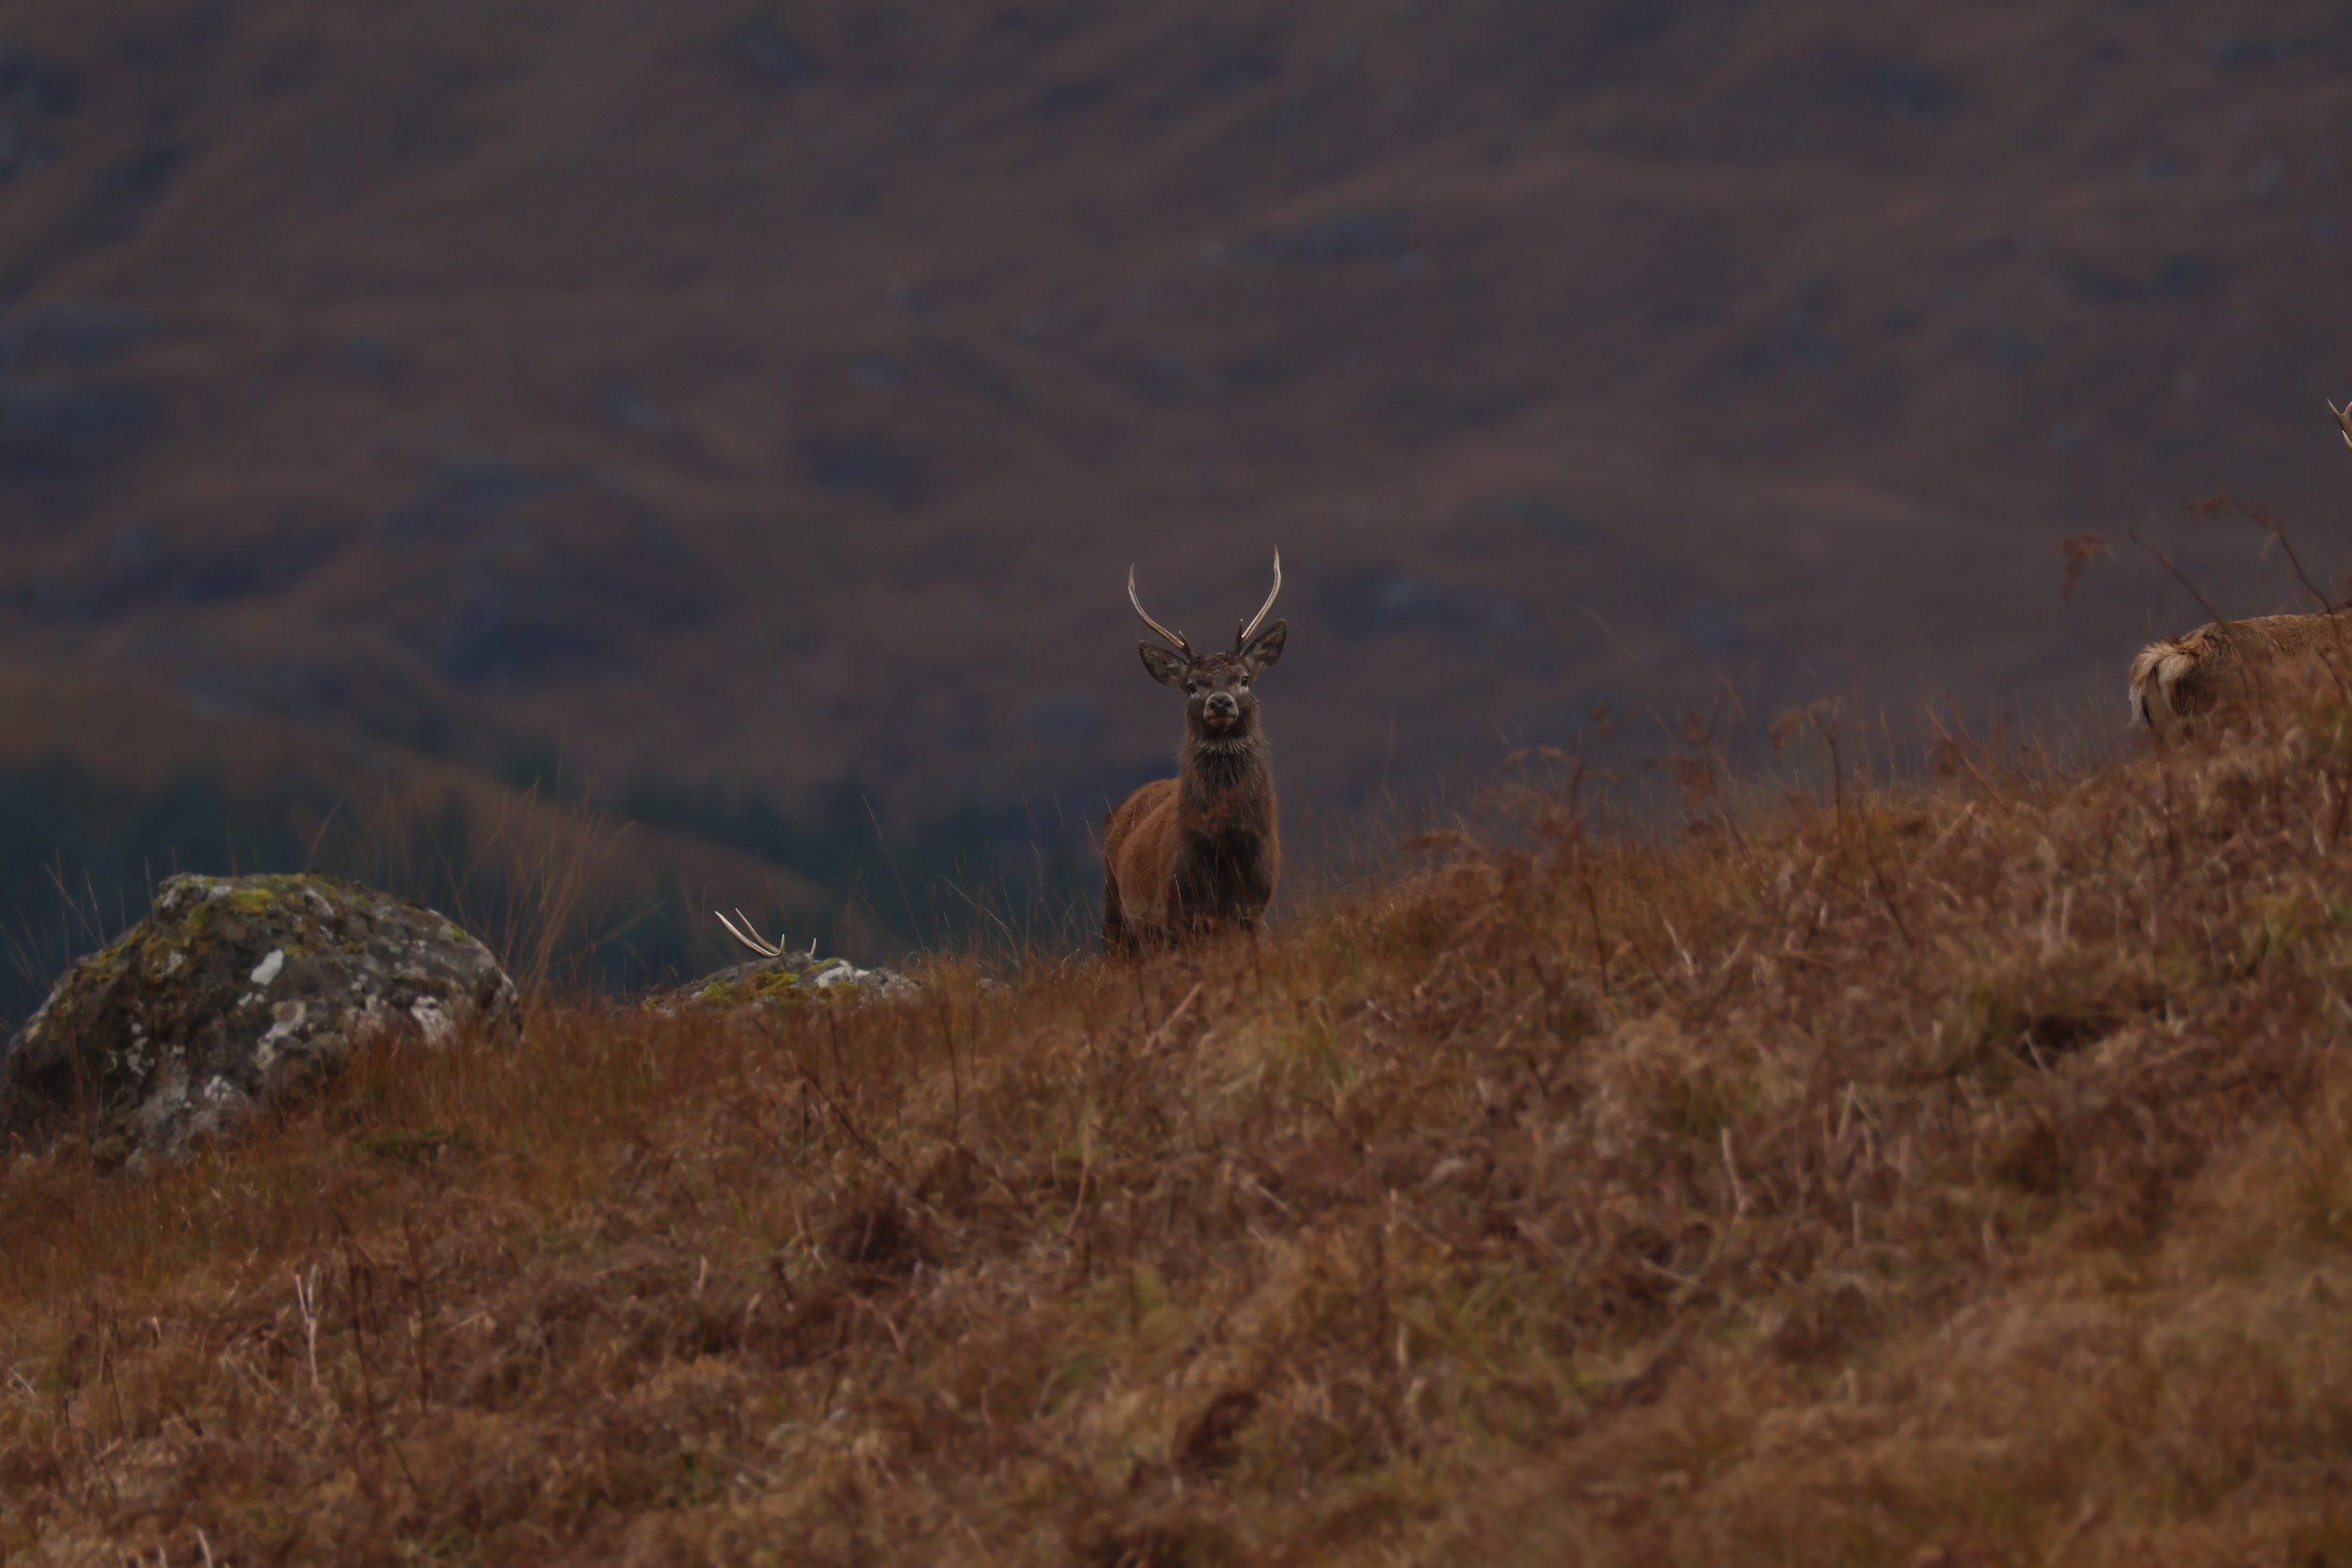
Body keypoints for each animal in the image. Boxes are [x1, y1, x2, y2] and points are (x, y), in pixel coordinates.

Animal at [1102, 552, 1288, 956]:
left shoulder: (1256, 906)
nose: (1219, 702)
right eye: (1191, 686)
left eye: (1244, 679)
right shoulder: (1175, 906)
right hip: (1115, 910)